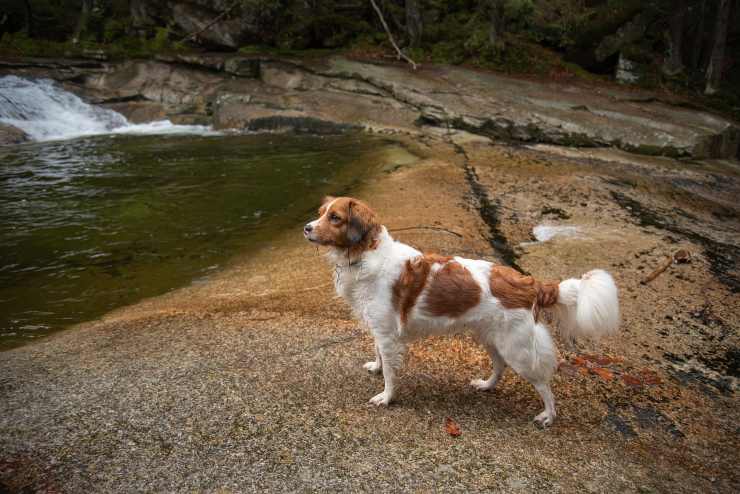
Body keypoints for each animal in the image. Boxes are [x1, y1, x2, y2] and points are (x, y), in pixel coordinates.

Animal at [300, 196, 620, 424]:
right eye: (321, 212)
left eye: (335, 218)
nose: (306, 227)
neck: (364, 253)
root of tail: (530, 282)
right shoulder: (380, 330)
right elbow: (379, 355)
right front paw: (376, 368)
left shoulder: (388, 334)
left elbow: (391, 371)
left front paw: (387, 397)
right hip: (491, 338)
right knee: (499, 366)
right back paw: (487, 385)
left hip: (517, 348)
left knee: (543, 383)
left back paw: (548, 415)